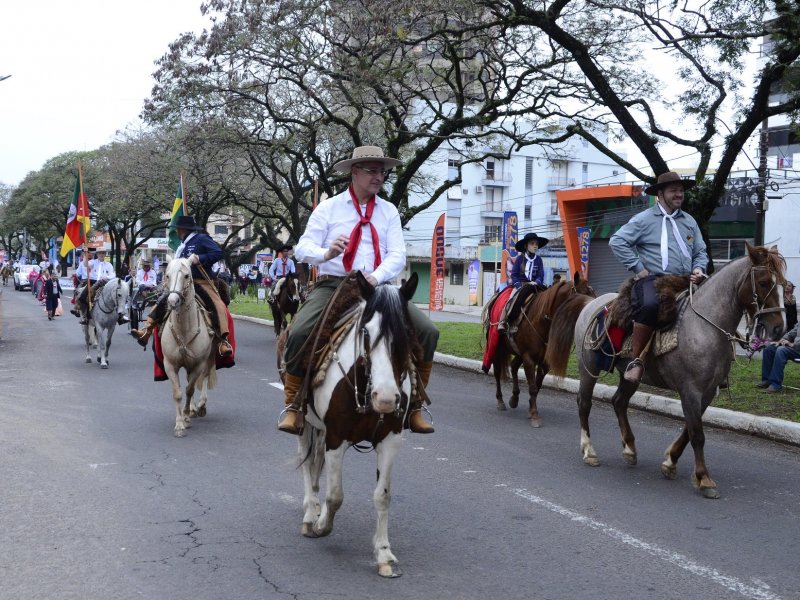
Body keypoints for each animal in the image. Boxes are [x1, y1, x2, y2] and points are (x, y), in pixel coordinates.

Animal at [161, 256, 216, 436]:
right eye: (167, 275)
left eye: (186, 275)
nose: (173, 301)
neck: (184, 329)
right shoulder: (170, 364)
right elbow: (178, 393)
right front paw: (179, 424)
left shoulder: (198, 364)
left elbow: (189, 389)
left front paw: (185, 418)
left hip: (209, 357)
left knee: (205, 376)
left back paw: (201, 406)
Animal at [488, 274, 592, 428]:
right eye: (583, 294)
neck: (541, 321)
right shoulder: (529, 359)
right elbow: (532, 387)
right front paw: (534, 415)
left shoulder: (544, 362)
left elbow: (536, 387)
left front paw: (530, 409)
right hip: (496, 348)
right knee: (497, 372)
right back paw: (500, 401)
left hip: (518, 352)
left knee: (513, 366)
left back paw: (514, 398)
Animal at [544, 246, 788, 500]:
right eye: (763, 282)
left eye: (785, 285)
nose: (779, 328)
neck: (704, 326)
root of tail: (590, 302)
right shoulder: (690, 390)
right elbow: (697, 434)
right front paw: (704, 478)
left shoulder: (707, 391)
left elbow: (690, 429)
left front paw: (670, 461)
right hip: (588, 368)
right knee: (584, 403)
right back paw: (589, 451)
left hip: (629, 376)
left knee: (619, 402)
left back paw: (630, 448)